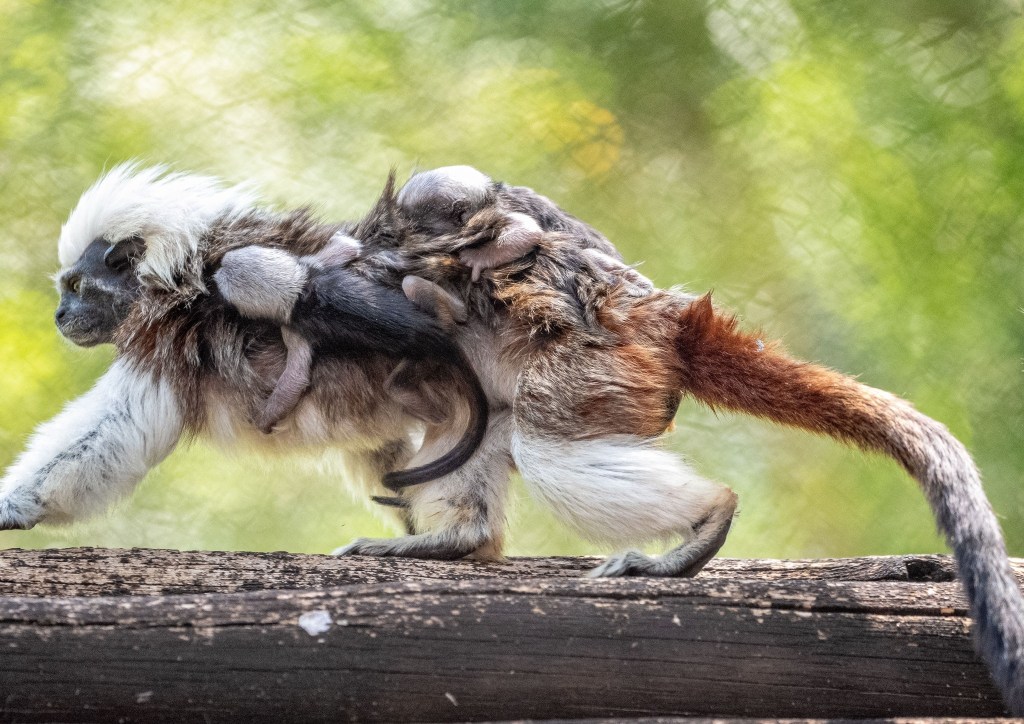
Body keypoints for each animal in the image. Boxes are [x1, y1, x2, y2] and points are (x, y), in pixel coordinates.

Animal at [210, 235, 483, 489]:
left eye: (223, 289)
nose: (218, 265)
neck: (299, 291)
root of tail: (439, 337)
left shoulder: (292, 326)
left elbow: (295, 378)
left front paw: (264, 419)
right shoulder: (313, 267)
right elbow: (347, 246)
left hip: (423, 358)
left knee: (396, 387)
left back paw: (439, 417)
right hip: (435, 313)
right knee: (413, 284)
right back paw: (460, 310)